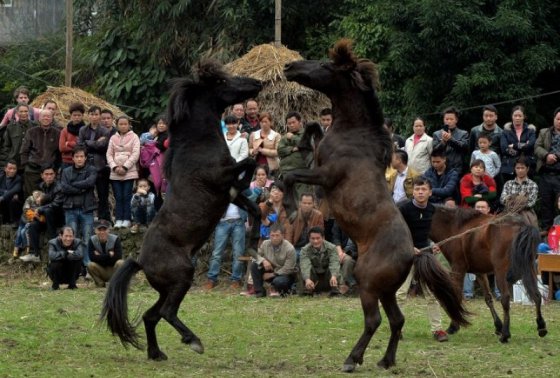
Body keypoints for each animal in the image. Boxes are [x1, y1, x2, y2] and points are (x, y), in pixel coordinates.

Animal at [101, 59, 262, 360]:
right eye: (222, 82)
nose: (257, 83)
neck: (198, 145)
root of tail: (140, 261)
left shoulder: (227, 194)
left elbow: (255, 207)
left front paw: (255, 248)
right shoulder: (220, 179)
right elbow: (249, 162)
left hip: (168, 287)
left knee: (152, 316)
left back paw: (156, 353)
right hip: (182, 277)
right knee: (165, 312)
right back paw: (193, 340)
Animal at [282, 39, 470, 372]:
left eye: (326, 65)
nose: (289, 66)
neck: (353, 134)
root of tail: (413, 253)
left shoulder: (326, 175)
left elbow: (290, 175)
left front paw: (291, 208)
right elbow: (314, 126)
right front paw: (301, 141)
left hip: (368, 285)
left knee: (374, 321)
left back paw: (352, 359)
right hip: (386, 290)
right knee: (397, 320)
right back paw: (386, 360)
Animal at [428, 207, 548, 342]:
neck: (455, 227)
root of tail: (520, 224)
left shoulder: (458, 268)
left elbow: (457, 295)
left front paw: (453, 326)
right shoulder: (480, 272)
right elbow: (488, 298)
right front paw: (498, 325)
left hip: (501, 271)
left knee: (505, 298)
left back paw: (505, 334)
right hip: (528, 268)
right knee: (537, 295)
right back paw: (541, 326)